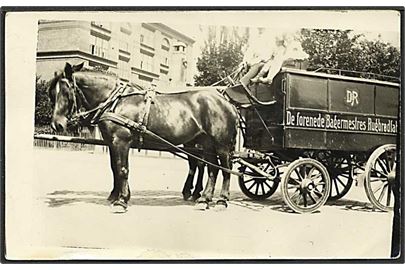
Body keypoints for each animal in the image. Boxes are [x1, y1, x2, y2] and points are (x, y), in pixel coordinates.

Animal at [47, 62, 237, 212]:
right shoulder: (111, 142)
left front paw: (121, 201)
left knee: (225, 168)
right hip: (206, 143)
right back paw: (204, 199)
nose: (57, 124)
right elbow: (115, 168)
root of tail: (226, 101)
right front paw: (117, 196)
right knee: (211, 169)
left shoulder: (121, 141)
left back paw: (221, 200)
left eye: (66, 92)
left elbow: (123, 169)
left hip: (221, 144)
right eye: (52, 94)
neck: (115, 101)